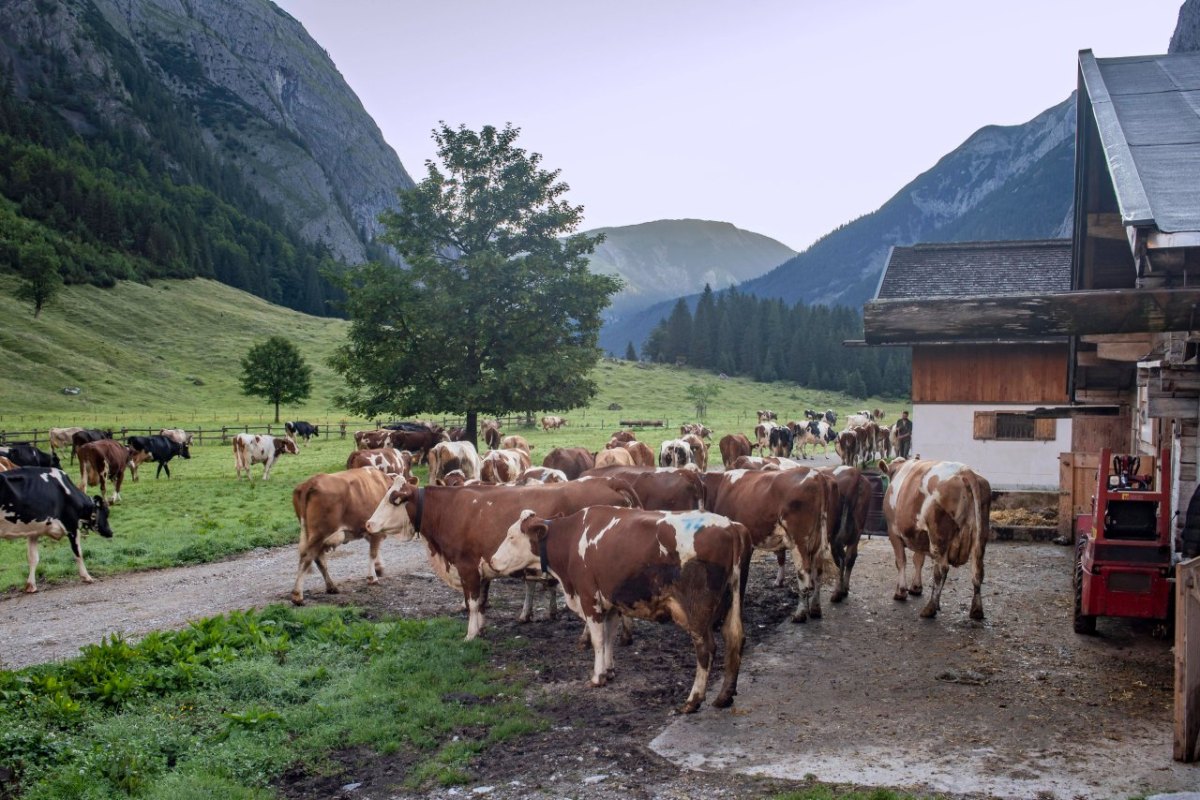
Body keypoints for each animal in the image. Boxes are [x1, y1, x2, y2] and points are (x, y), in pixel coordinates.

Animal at [290, 468, 400, 604]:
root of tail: (312, 481)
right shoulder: (375, 528)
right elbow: (373, 552)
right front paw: (372, 577)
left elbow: (374, 548)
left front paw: (379, 568)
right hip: (320, 533)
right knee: (307, 557)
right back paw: (297, 595)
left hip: (311, 533)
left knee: (318, 559)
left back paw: (331, 587)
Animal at [364, 477, 641, 639]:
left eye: (393, 500)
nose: (368, 523)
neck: (451, 509)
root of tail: (605, 481)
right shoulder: (481, 570)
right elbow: (482, 602)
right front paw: (481, 627)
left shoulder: (467, 567)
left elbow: (472, 602)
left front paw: (471, 634)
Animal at [491, 507, 751, 713]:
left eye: (511, 536)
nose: (492, 561)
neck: (572, 540)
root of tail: (731, 526)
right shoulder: (611, 604)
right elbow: (609, 638)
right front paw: (609, 671)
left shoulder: (590, 599)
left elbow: (597, 640)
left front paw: (597, 677)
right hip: (733, 601)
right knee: (734, 640)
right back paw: (724, 696)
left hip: (697, 611)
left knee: (706, 649)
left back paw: (693, 700)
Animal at [704, 467, 835, 622]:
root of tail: (816, 474)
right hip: (818, 542)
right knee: (817, 573)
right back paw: (815, 609)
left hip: (799, 541)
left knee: (804, 574)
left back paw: (800, 614)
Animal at [877, 458, 991, 620]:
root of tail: (965, 470)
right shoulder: (920, 536)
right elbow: (918, 560)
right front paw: (916, 587)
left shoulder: (893, 532)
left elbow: (901, 561)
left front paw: (901, 592)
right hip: (980, 536)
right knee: (977, 570)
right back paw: (976, 611)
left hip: (938, 534)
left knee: (941, 569)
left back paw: (930, 607)